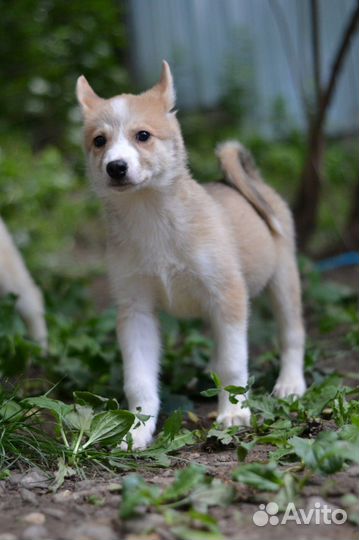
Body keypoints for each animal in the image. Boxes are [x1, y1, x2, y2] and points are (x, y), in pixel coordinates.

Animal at [76, 61, 306, 450]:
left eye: (142, 135)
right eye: (99, 141)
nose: (115, 167)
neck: (151, 218)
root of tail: (250, 182)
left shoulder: (228, 295)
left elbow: (233, 365)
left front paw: (234, 413)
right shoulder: (136, 312)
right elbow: (139, 380)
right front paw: (137, 429)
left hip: (283, 282)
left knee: (292, 335)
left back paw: (290, 383)